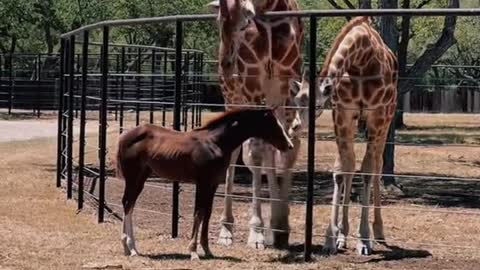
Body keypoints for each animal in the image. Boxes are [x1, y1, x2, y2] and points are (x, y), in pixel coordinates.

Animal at [118, 107, 294, 260]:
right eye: (272, 124)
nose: (289, 145)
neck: (215, 143)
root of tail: (124, 136)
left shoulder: (212, 184)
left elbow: (207, 214)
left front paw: (207, 250)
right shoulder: (202, 183)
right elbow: (198, 213)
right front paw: (193, 252)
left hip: (141, 177)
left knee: (129, 204)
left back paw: (128, 248)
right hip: (133, 177)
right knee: (128, 204)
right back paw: (131, 248)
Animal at [207, 0, 304, 249]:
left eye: (244, 24)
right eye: (217, 21)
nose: (227, 64)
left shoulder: (285, 82)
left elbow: (287, 149)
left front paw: (281, 226)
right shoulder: (252, 85)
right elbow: (256, 153)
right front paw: (257, 232)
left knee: (271, 145)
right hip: (232, 96)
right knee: (235, 150)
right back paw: (226, 229)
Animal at [288, 16, 398, 255]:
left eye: (318, 105)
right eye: (297, 100)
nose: (294, 127)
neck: (362, 61)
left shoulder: (377, 115)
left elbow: (366, 171)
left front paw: (364, 239)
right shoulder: (343, 113)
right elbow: (342, 169)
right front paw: (333, 237)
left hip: (387, 118)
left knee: (377, 164)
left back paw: (378, 231)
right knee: (352, 163)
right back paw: (343, 234)